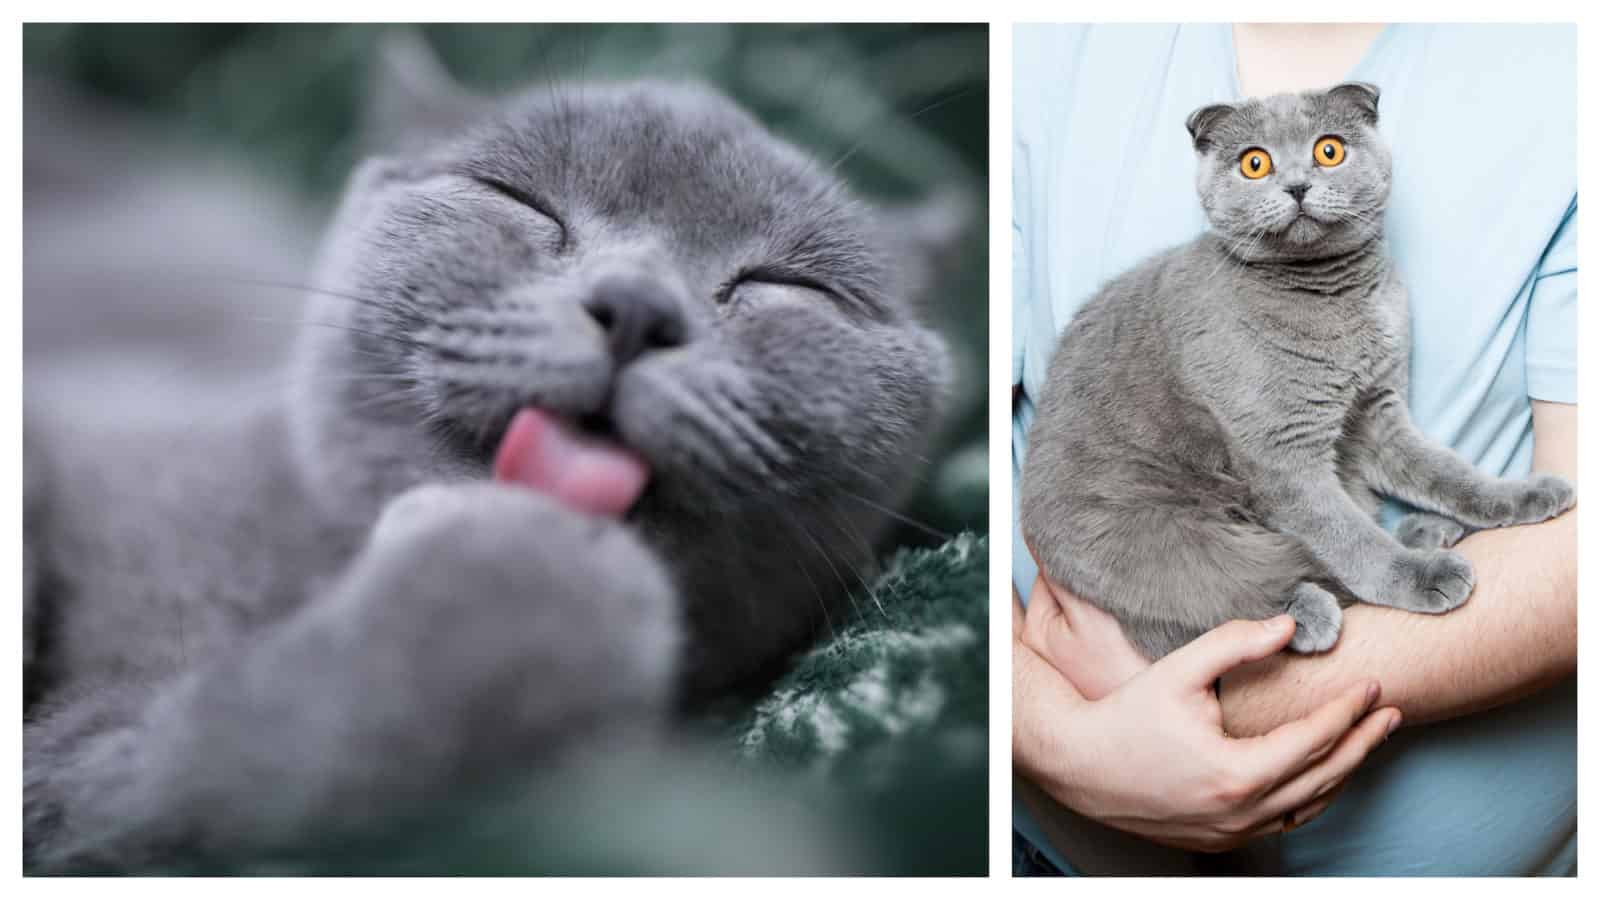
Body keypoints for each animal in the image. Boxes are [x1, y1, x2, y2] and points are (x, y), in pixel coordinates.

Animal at [1024, 82, 1574, 659]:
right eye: (1255, 163)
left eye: (1328, 150)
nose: (1297, 186)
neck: (1333, 299)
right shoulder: (1282, 456)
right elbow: (1346, 537)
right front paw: (1417, 578)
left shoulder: (1377, 410)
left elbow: (1444, 472)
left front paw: (1516, 497)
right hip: (1160, 537)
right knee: (1214, 593)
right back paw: (1311, 608)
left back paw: (1426, 532)